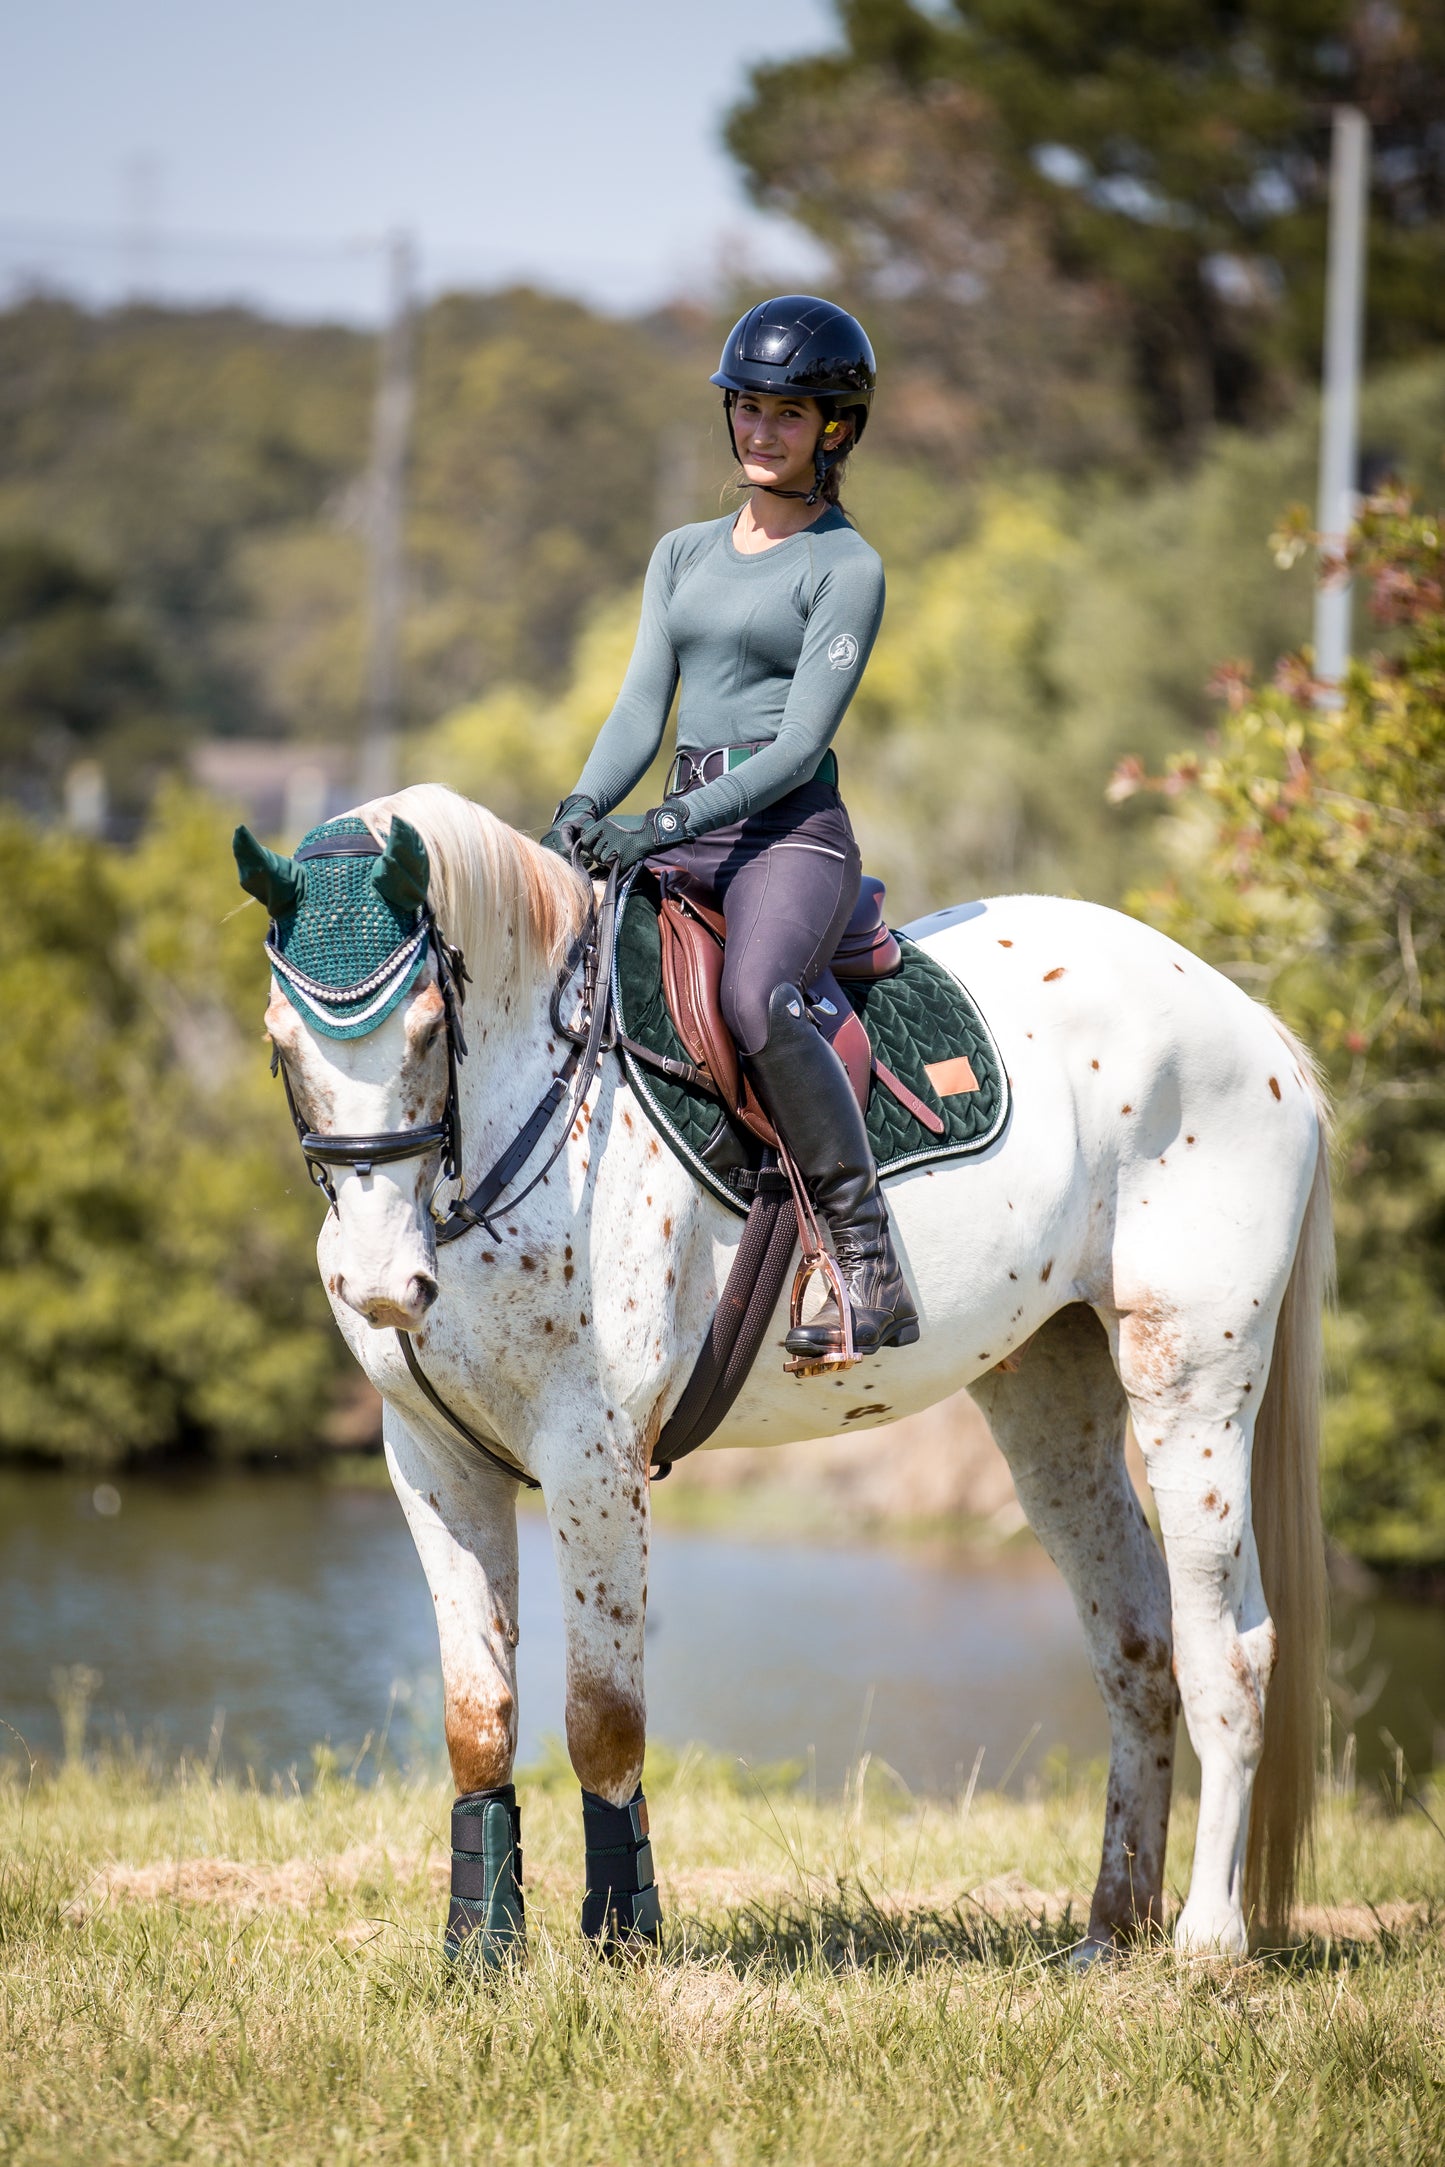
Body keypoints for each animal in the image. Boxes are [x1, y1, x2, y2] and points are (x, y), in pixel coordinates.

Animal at [245, 784, 1334, 1967]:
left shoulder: (592, 1456)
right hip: (1050, 1395)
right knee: (1134, 1642)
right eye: (280, 1045)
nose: (376, 1281)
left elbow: (602, 1720)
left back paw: (1205, 1940)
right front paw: (480, 1954)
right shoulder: (433, 1460)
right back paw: (1106, 1931)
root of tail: (1247, 1019)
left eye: (427, 1029)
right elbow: (477, 1721)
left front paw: (623, 1941)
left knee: (1227, 1650)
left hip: (1193, 1382)